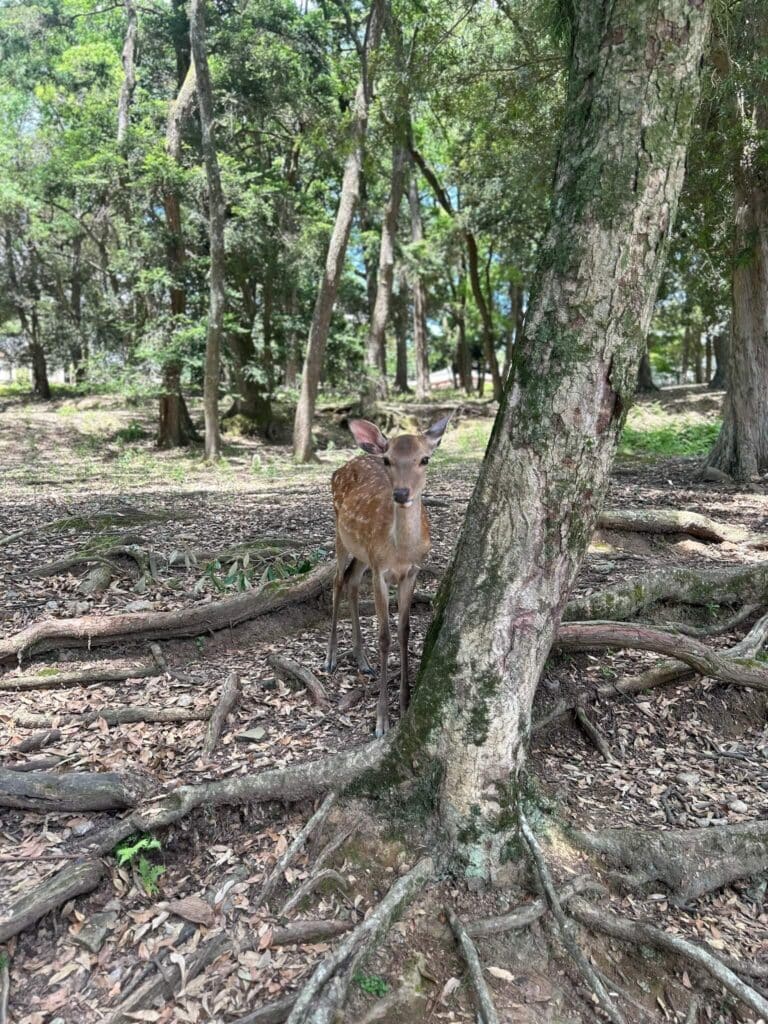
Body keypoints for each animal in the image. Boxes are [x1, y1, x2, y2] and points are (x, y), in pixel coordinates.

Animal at [325, 416, 450, 736]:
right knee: (337, 581)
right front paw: (381, 719)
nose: (402, 493)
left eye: (425, 459)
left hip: (362, 553)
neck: (400, 552)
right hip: (341, 534)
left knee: (352, 581)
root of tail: (343, 465)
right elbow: (384, 637)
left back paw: (363, 660)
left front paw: (405, 704)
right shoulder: (380, 570)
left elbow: (404, 632)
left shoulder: (412, 572)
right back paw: (331, 658)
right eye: (387, 460)